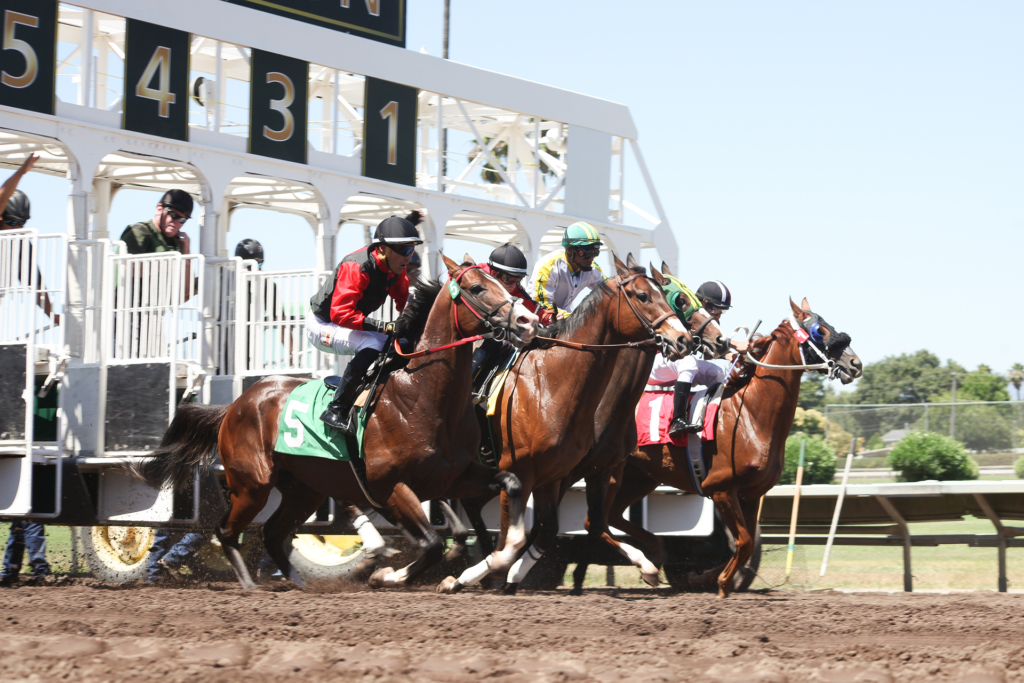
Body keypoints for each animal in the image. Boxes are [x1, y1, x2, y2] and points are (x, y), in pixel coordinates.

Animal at [140, 253, 540, 589]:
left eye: (506, 285)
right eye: (477, 288)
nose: (528, 320)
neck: (421, 394)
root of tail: (236, 404)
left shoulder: (453, 476)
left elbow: (511, 484)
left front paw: (503, 556)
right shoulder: (388, 485)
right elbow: (429, 544)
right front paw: (386, 575)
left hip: (304, 489)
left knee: (272, 534)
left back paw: (298, 584)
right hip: (252, 483)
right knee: (226, 530)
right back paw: (251, 585)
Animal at [602, 299, 860, 598]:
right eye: (819, 331)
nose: (855, 363)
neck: (750, 414)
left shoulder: (751, 495)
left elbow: (744, 547)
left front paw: (703, 577)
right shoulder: (721, 489)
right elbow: (744, 542)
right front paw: (722, 581)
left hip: (641, 477)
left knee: (612, 515)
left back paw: (653, 557)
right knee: (594, 521)